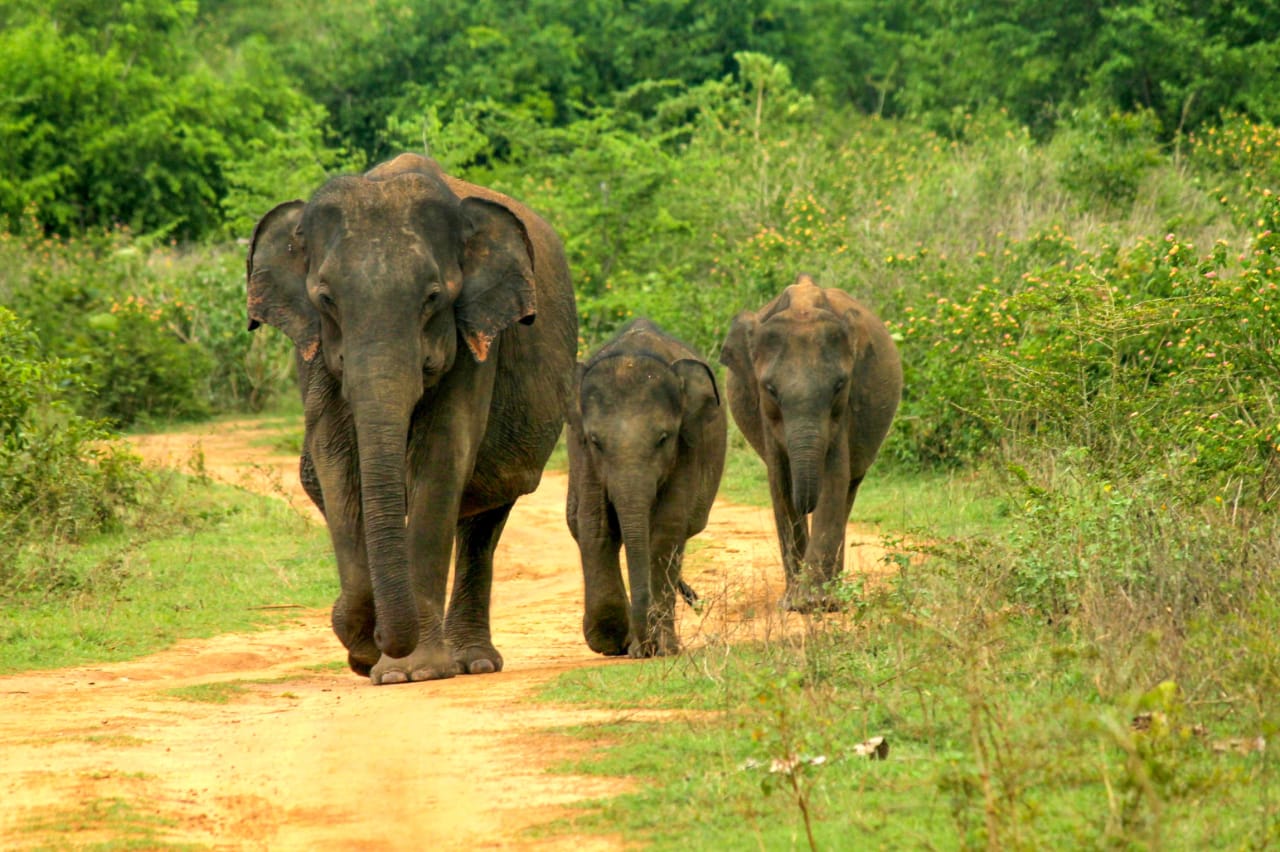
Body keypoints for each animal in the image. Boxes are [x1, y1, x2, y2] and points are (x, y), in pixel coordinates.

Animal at [246, 153, 577, 684]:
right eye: (326, 299)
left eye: (433, 297)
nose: (376, 643)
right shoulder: (312, 347)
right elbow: (334, 457)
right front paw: (365, 645)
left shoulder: (473, 337)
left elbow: (440, 454)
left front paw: (411, 671)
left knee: (485, 519)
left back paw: (472, 662)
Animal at [566, 319, 727, 657]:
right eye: (596, 441)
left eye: (663, 438)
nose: (646, 646)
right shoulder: (581, 452)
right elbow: (595, 524)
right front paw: (611, 639)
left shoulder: (688, 444)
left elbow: (666, 529)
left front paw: (660, 648)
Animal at [720, 274, 902, 612]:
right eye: (770, 389)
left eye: (839, 386)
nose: (806, 503)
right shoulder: (765, 414)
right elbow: (779, 481)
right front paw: (795, 603)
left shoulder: (844, 411)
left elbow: (835, 477)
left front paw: (816, 603)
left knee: (849, 488)